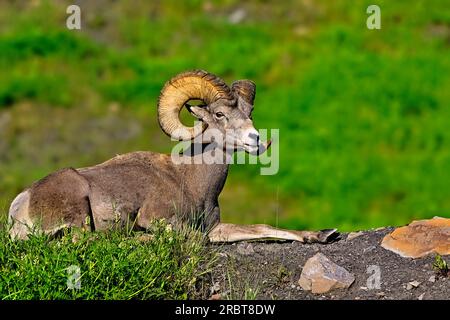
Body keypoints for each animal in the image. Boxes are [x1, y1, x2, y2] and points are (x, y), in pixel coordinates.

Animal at [8, 70, 336, 242]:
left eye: (250, 112)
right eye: (219, 114)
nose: (255, 140)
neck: (192, 182)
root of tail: (20, 206)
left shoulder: (216, 228)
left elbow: (262, 228)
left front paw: (322, 235)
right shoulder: (161, 219)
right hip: (77, 213)